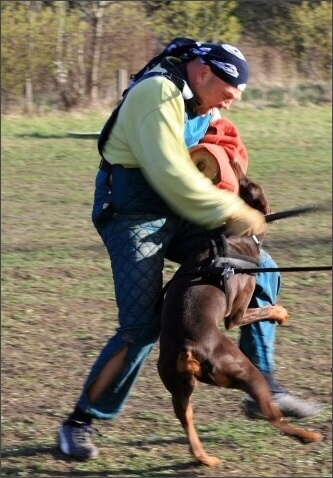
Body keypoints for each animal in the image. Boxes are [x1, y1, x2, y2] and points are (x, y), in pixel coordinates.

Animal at [158, 163, 322, 466]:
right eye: (250, 183)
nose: (235, 165)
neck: (238, 236)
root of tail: (188, 348)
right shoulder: (235, 314)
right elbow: (266, 309)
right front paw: (280, 314)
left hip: (176, 385)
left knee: (186, 417)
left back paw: (205, 458)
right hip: (246, 372)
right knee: (273, 418)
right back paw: (308, 435)